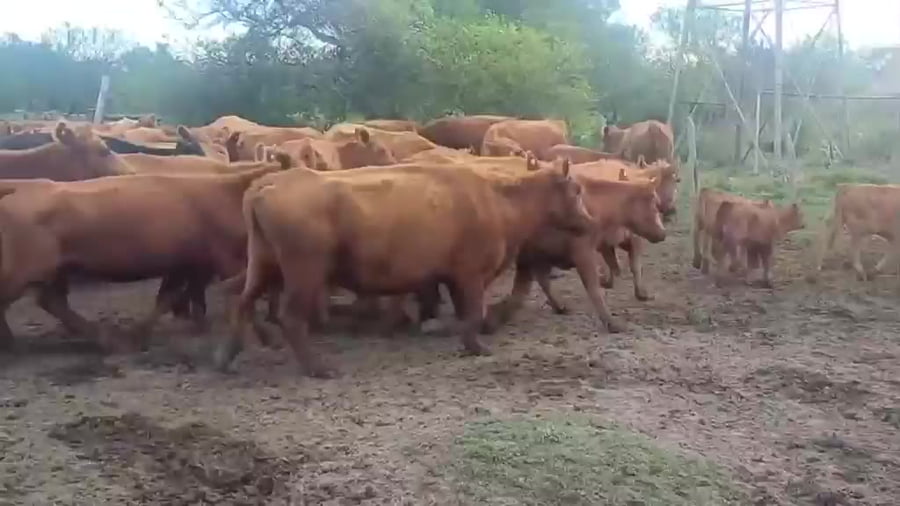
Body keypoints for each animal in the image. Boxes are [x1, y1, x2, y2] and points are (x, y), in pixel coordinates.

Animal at [0, 155, 291, 351]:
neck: (231, 193)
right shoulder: (225, 259)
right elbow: (244, 298)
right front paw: (268, 337)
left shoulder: (188, 263)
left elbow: (168, 297)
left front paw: (143, 333)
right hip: (25, 269)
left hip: (53, 270)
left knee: (52, 301)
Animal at [213, 158, 592, 377]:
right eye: (576, 190)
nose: (589, 222)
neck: (497, 200)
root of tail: (269, 184)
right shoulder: (470, 276)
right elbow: (472, 312)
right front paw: (477, 346)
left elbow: (464, 312)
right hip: (304, 274)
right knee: (290, 318)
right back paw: (319, 368)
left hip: (263, 267)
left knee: (241, 301)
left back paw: (226, 358)